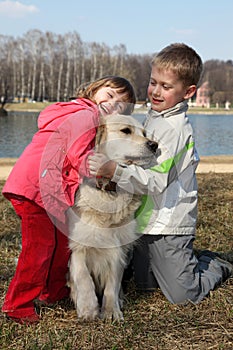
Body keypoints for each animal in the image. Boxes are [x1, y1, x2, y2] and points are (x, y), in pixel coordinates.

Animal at [67, 114, 158, 320]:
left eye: (144, 133)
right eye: (126, 131)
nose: (154, 145)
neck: (107, 190)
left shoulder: (119, 248)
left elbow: (112, 283)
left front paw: (110, 311)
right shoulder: (77, 245)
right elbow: (83, 276)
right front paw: (88, 308)